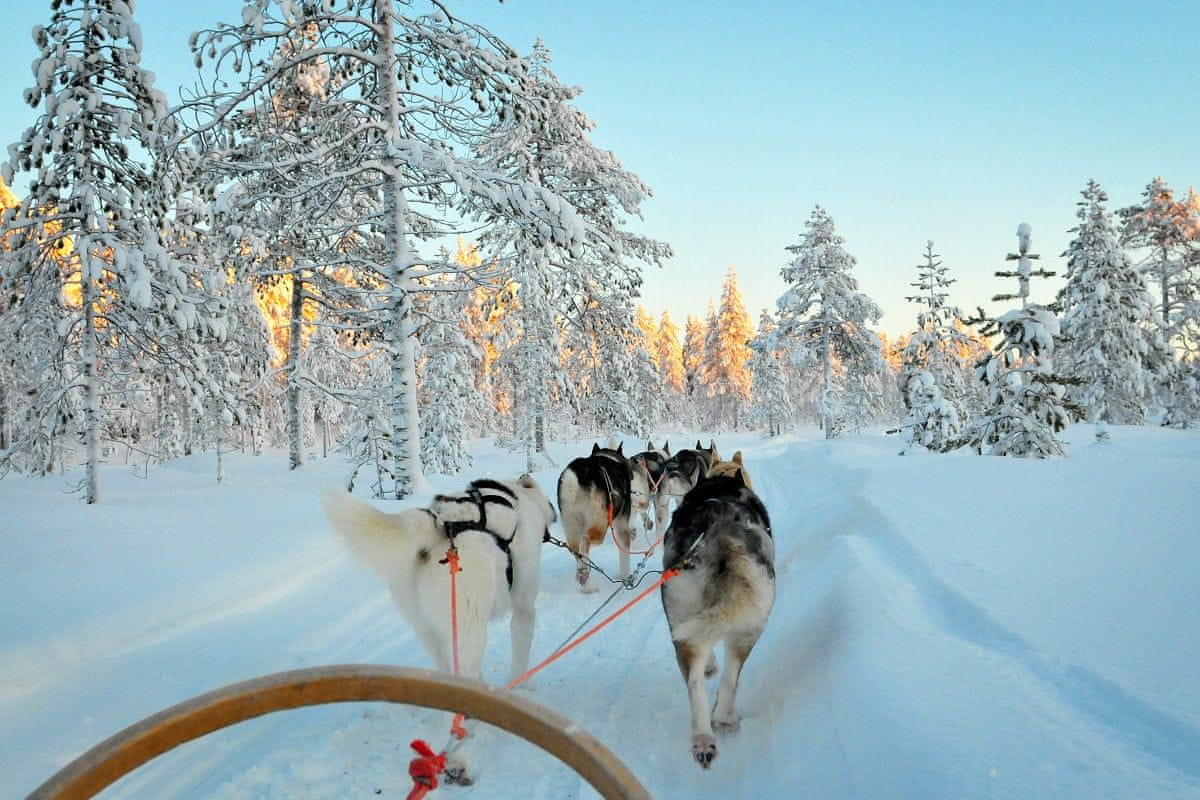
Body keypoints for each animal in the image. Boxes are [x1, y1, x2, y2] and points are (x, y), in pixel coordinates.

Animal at [556, 441, 638, 592]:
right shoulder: (621, 527)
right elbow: (624, 555)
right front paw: (625, 578)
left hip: (571, 525)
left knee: (577, 551)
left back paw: (586, 585)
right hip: (599, 524)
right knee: (585, 541)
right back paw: (584, 571)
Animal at [662, 470, 772, 767]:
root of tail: (721, 535)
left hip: (688, 625)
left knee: (696, 683)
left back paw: (704, 737)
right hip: (750, 630)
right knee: (731, 675)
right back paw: (724, 719)